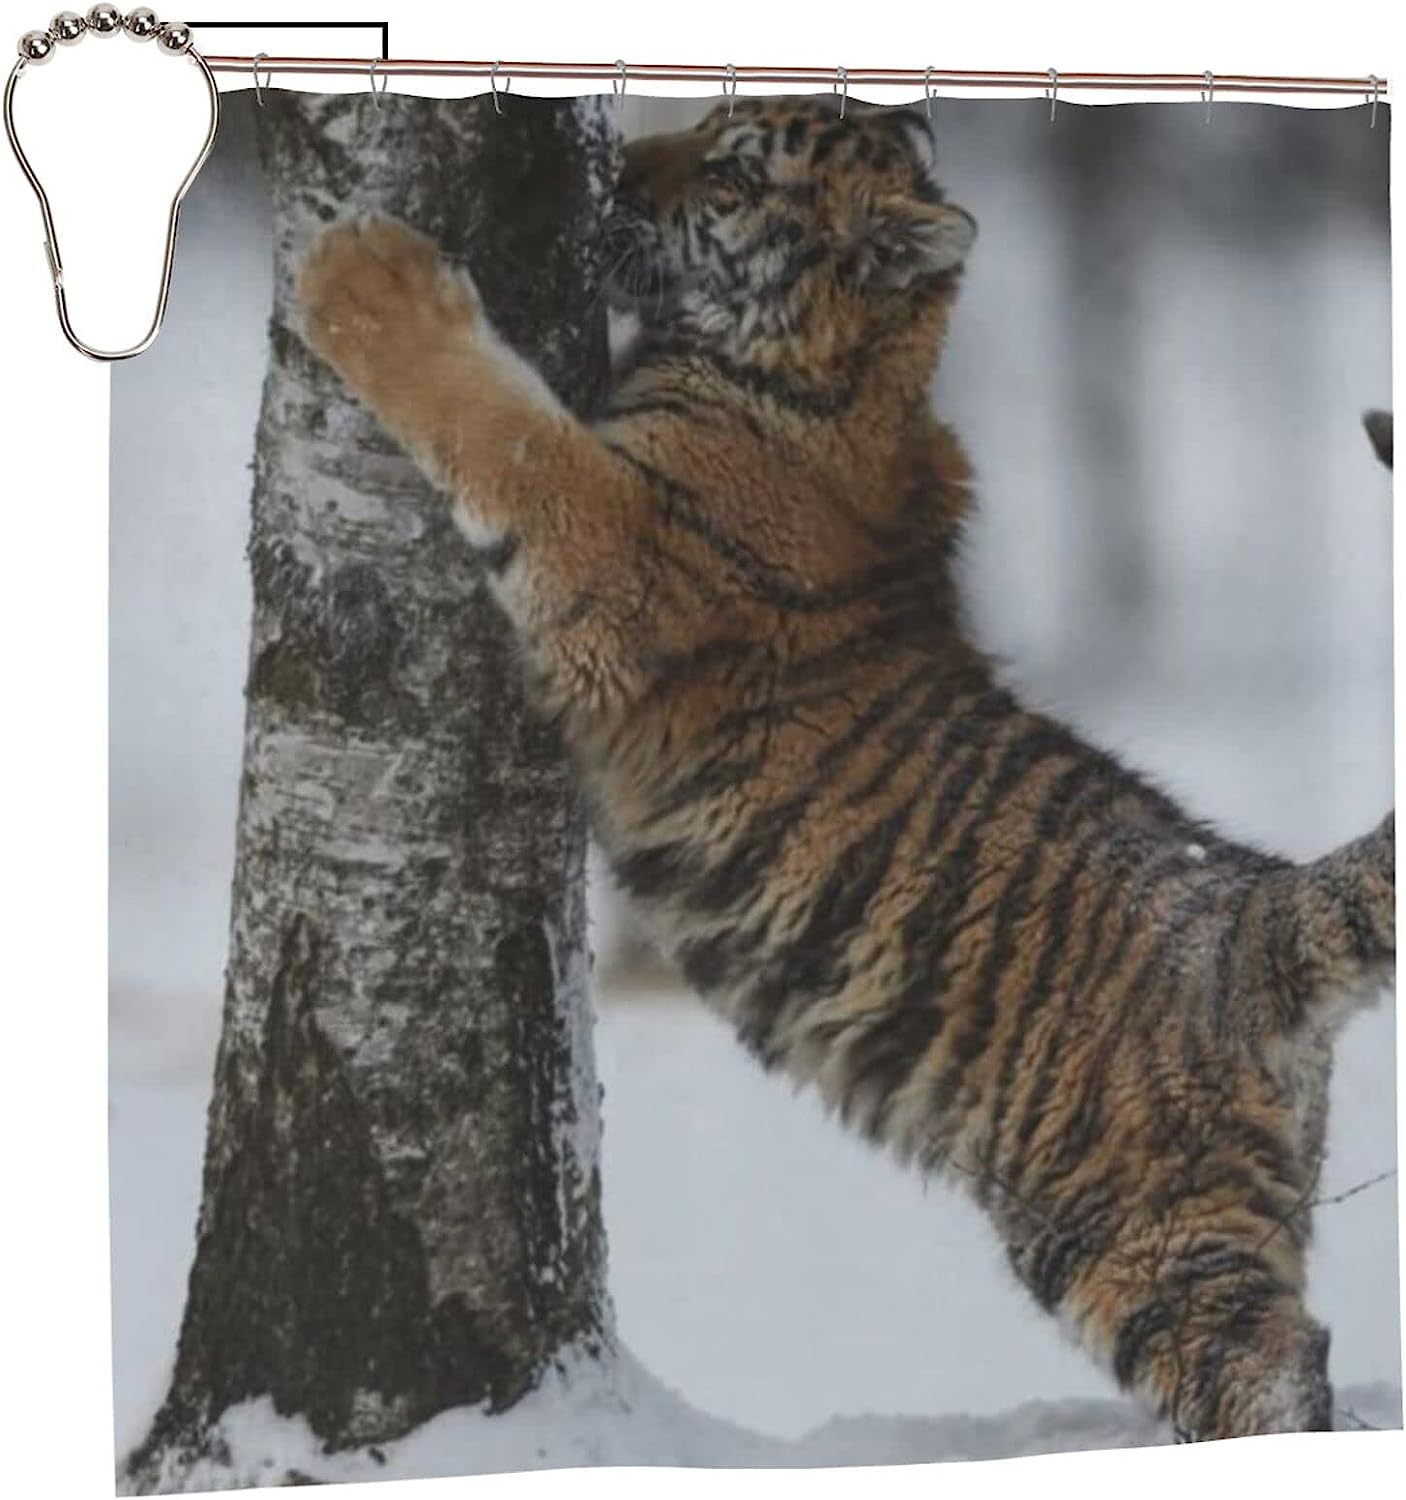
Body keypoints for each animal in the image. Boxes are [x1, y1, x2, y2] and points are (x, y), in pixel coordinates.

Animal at [297, 96, 1396, 1442]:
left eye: (730, 169)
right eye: (703, 118)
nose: (617, 169)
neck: (852, 371)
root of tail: (1252, 907)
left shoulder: (613, 548)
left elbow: (501, 424)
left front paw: (360, 272)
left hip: (1131, 1231)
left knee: (1265, 1376)